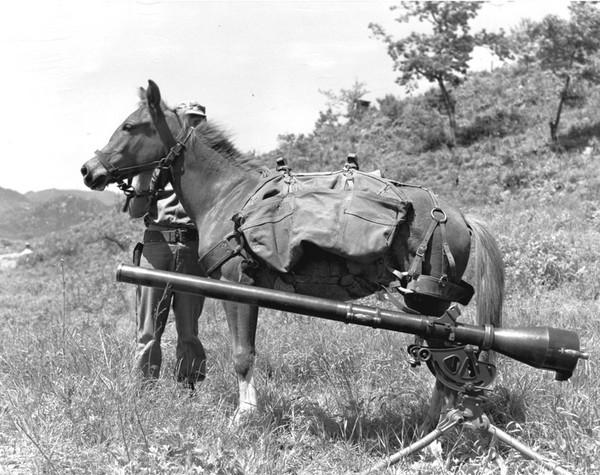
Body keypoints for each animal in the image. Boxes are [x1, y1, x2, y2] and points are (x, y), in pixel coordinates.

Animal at [78, 80, 502, 426]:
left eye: (131, 126)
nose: (87, 169)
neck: (226, 194)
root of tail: (458, 215)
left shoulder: (238, 288)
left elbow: (242, 354)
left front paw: (244, 418)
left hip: (426, 302)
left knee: (447, 360)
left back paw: (439, 423)